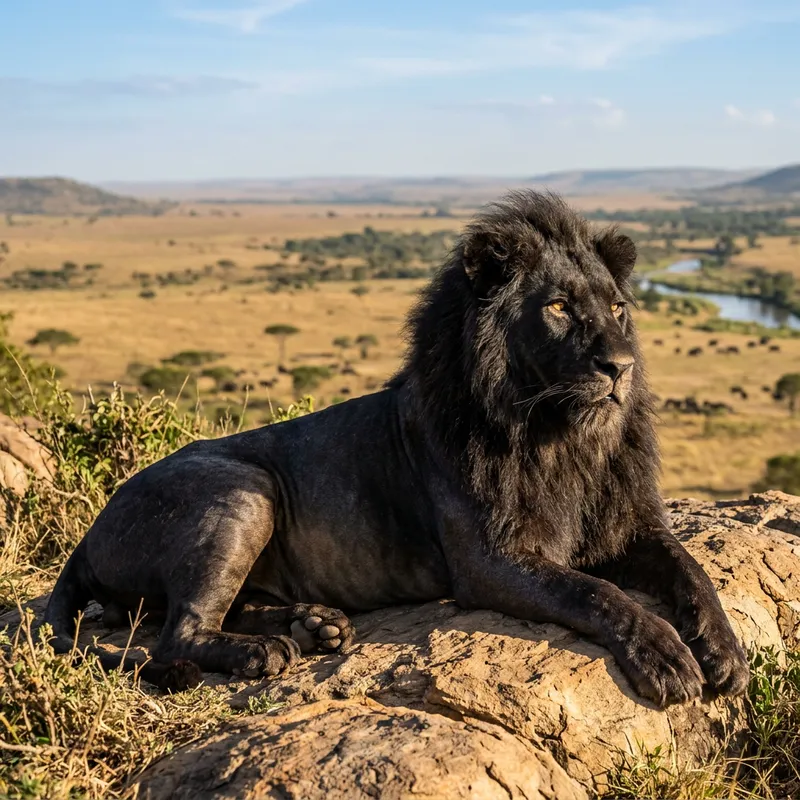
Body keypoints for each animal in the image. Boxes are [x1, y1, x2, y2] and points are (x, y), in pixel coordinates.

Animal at [45, 191, 748, 705]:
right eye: (557, 307)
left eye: (619, 308)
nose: (621, 366)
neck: (561, 436)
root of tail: (89, 532)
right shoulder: (490, 563)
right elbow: (596, 593)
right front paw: (666, 656)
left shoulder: (627, 524)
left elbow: (691, 569)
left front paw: (726, 652)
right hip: (244, 490)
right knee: (177, 635)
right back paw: (263, 651)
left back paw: (314, 625)